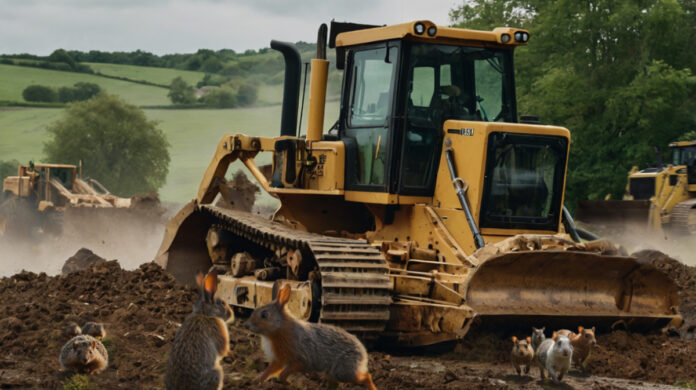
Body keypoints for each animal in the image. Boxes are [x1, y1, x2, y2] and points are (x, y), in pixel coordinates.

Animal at [245, 284, 376, 390]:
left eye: (264, 315)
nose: (247, 325)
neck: (279, 329)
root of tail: (363, 352)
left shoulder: (300, 361)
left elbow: (282, 374)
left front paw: (287, 384)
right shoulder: (278, 361)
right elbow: (268, 372)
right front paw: (256, 381)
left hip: (343, 371)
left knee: (366, 377)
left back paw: (373, 387)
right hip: (334, 374)